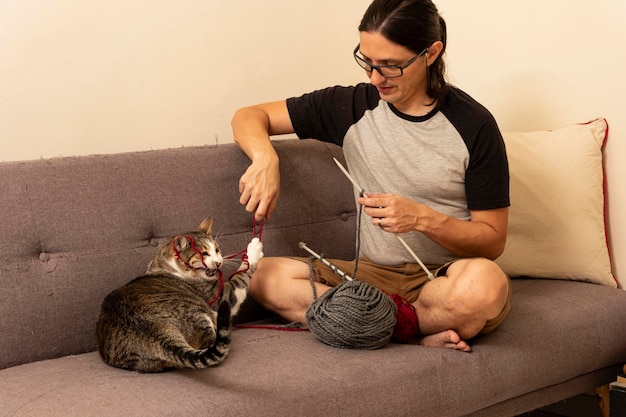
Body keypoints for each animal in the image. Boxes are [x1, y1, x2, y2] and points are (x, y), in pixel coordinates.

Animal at [94, 216, 260, 372]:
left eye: (217, 250)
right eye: (204, 253)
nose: (219, 262)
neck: (167, 266)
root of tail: (158, 330)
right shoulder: (221, 296)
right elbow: (241, 276)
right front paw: (255, 248)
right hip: (200, 313)